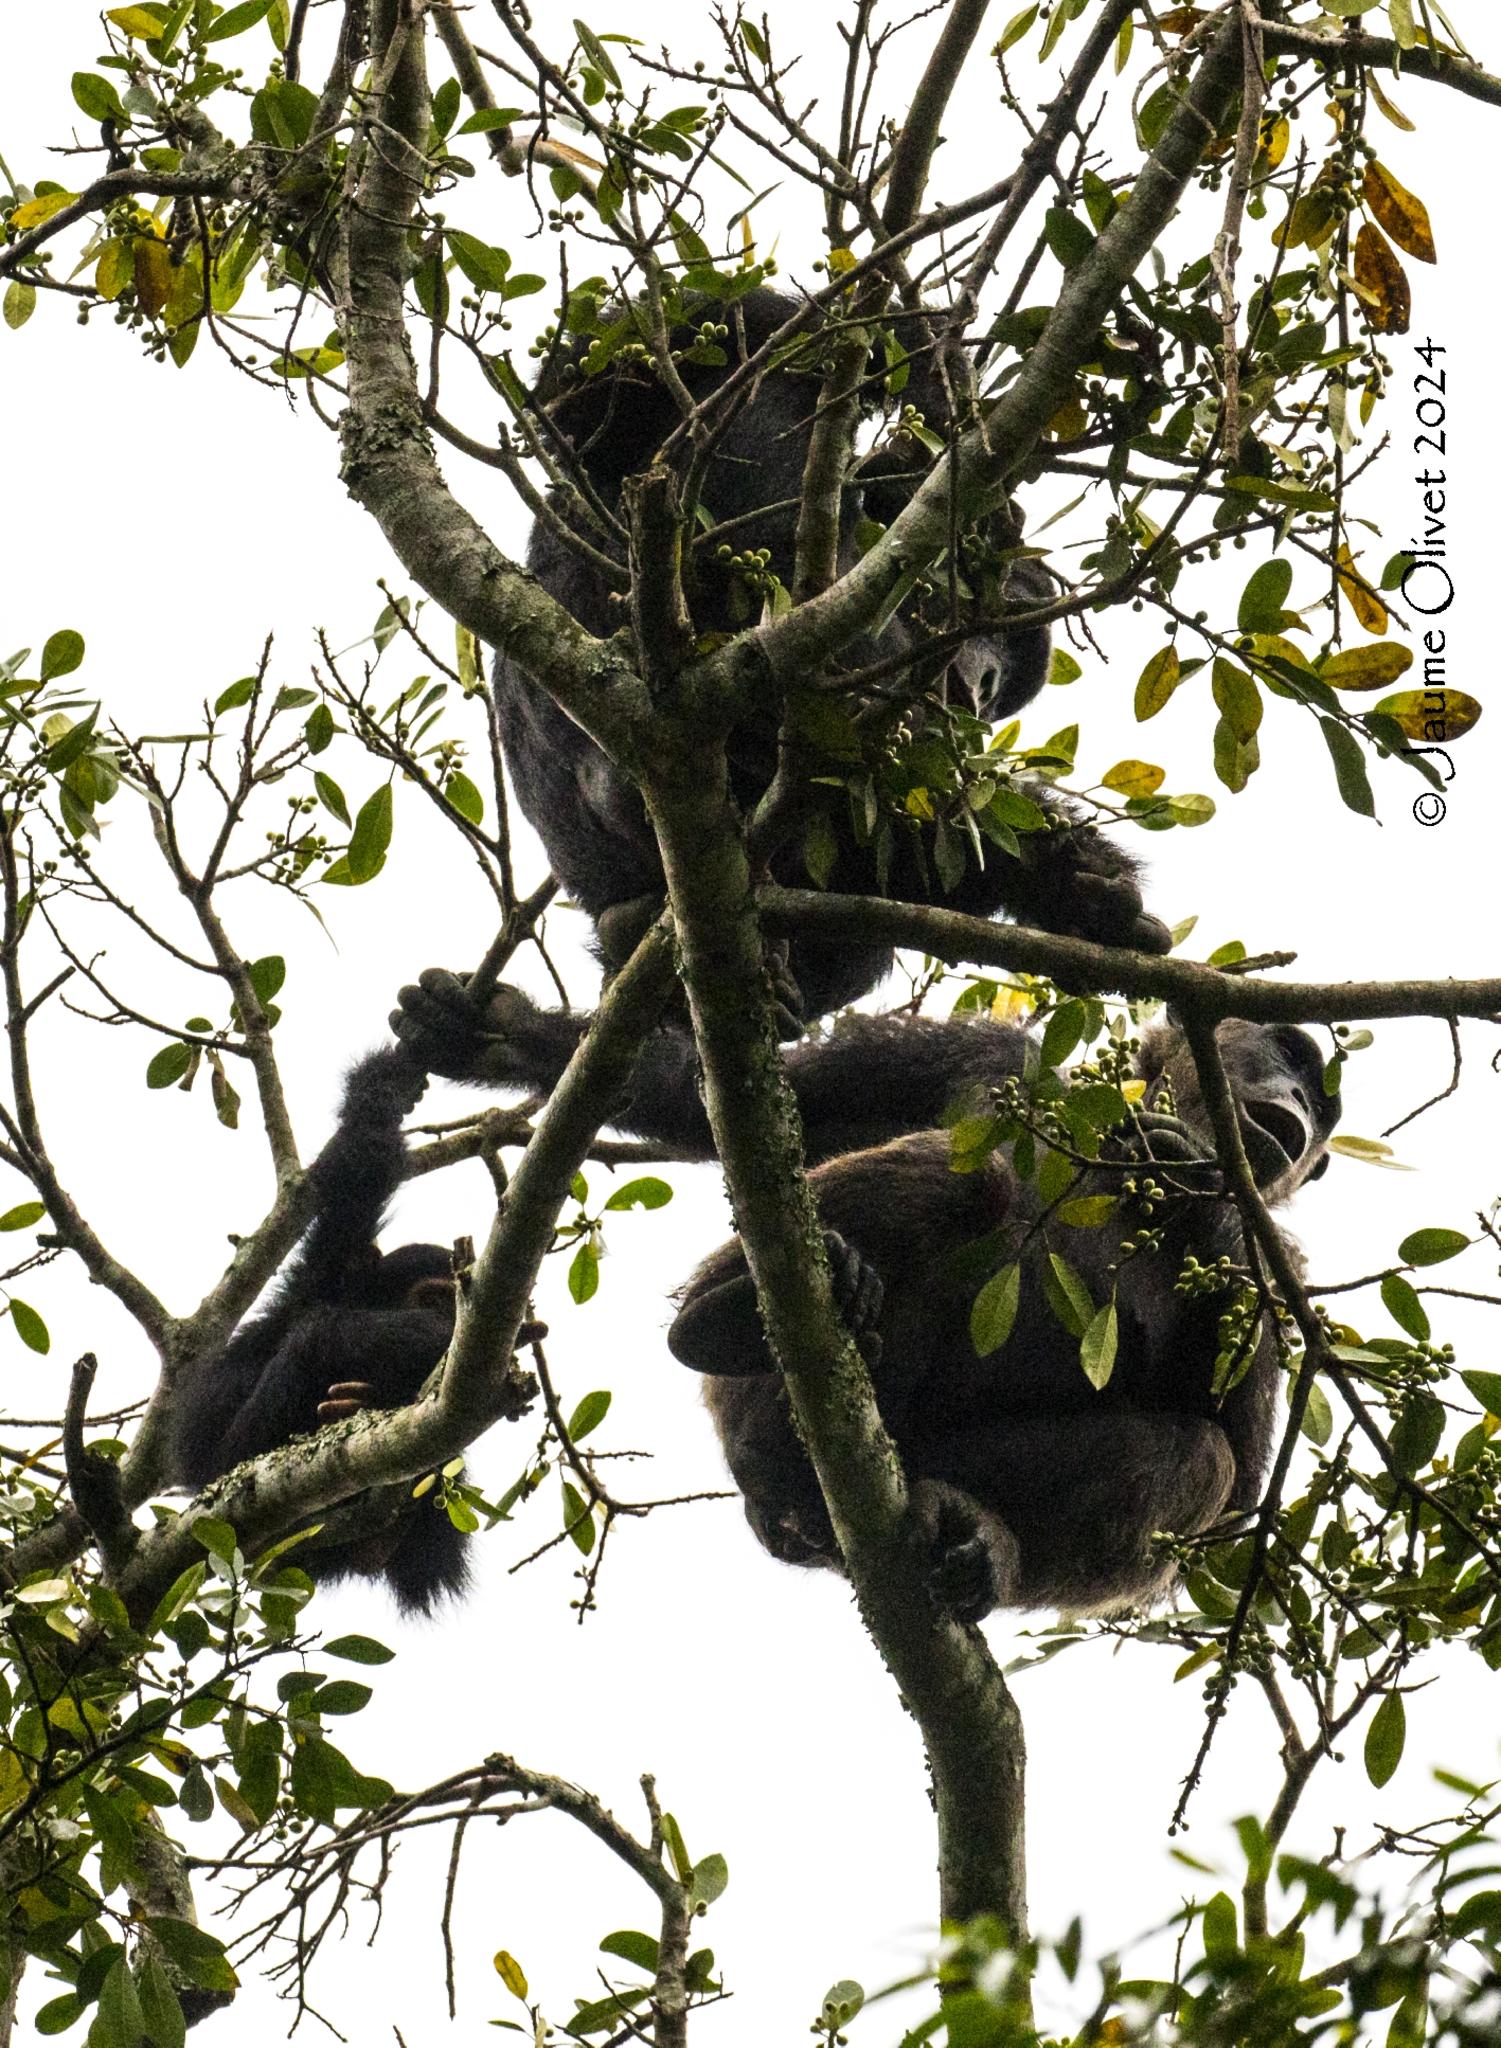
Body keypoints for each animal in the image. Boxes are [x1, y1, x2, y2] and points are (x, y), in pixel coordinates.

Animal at [663, 1015, 1343, 1622]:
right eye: (1288, 1051)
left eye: (1323, 1100)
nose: (1303, 1100)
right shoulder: (994, 1055)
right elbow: (710, 1101)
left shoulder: (1283, 1265)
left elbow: (1237, 1488)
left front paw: (1198, 1176)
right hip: (751, 1411)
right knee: (970, 1183)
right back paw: (723, 1320)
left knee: (1202, 1458)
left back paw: (985, 1541)